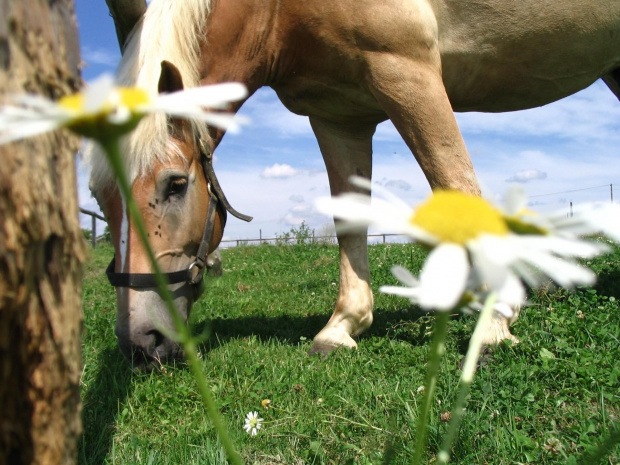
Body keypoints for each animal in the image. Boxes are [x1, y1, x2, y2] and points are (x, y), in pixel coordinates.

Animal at [86, 0, 620, 368]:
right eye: (98, 198)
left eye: (175, 185)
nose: (141, 342)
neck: (277, 11)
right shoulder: (338, 115)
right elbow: (349, 219)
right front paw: (343, 326)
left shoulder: (408, 71)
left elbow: (458, 185)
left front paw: (494, 322)